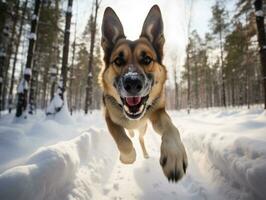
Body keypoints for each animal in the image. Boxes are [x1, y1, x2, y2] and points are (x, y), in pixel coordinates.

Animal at [98, 4, 188, 183]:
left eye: (147, 59)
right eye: (118, 61)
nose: (133, 83)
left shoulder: (157, 112)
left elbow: (171, 128)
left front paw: (174, 155)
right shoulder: (109, 118)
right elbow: (122, 140)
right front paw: (127, 158)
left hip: (144, 128)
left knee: (140, 139)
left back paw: (145, 153)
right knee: (130, 135)